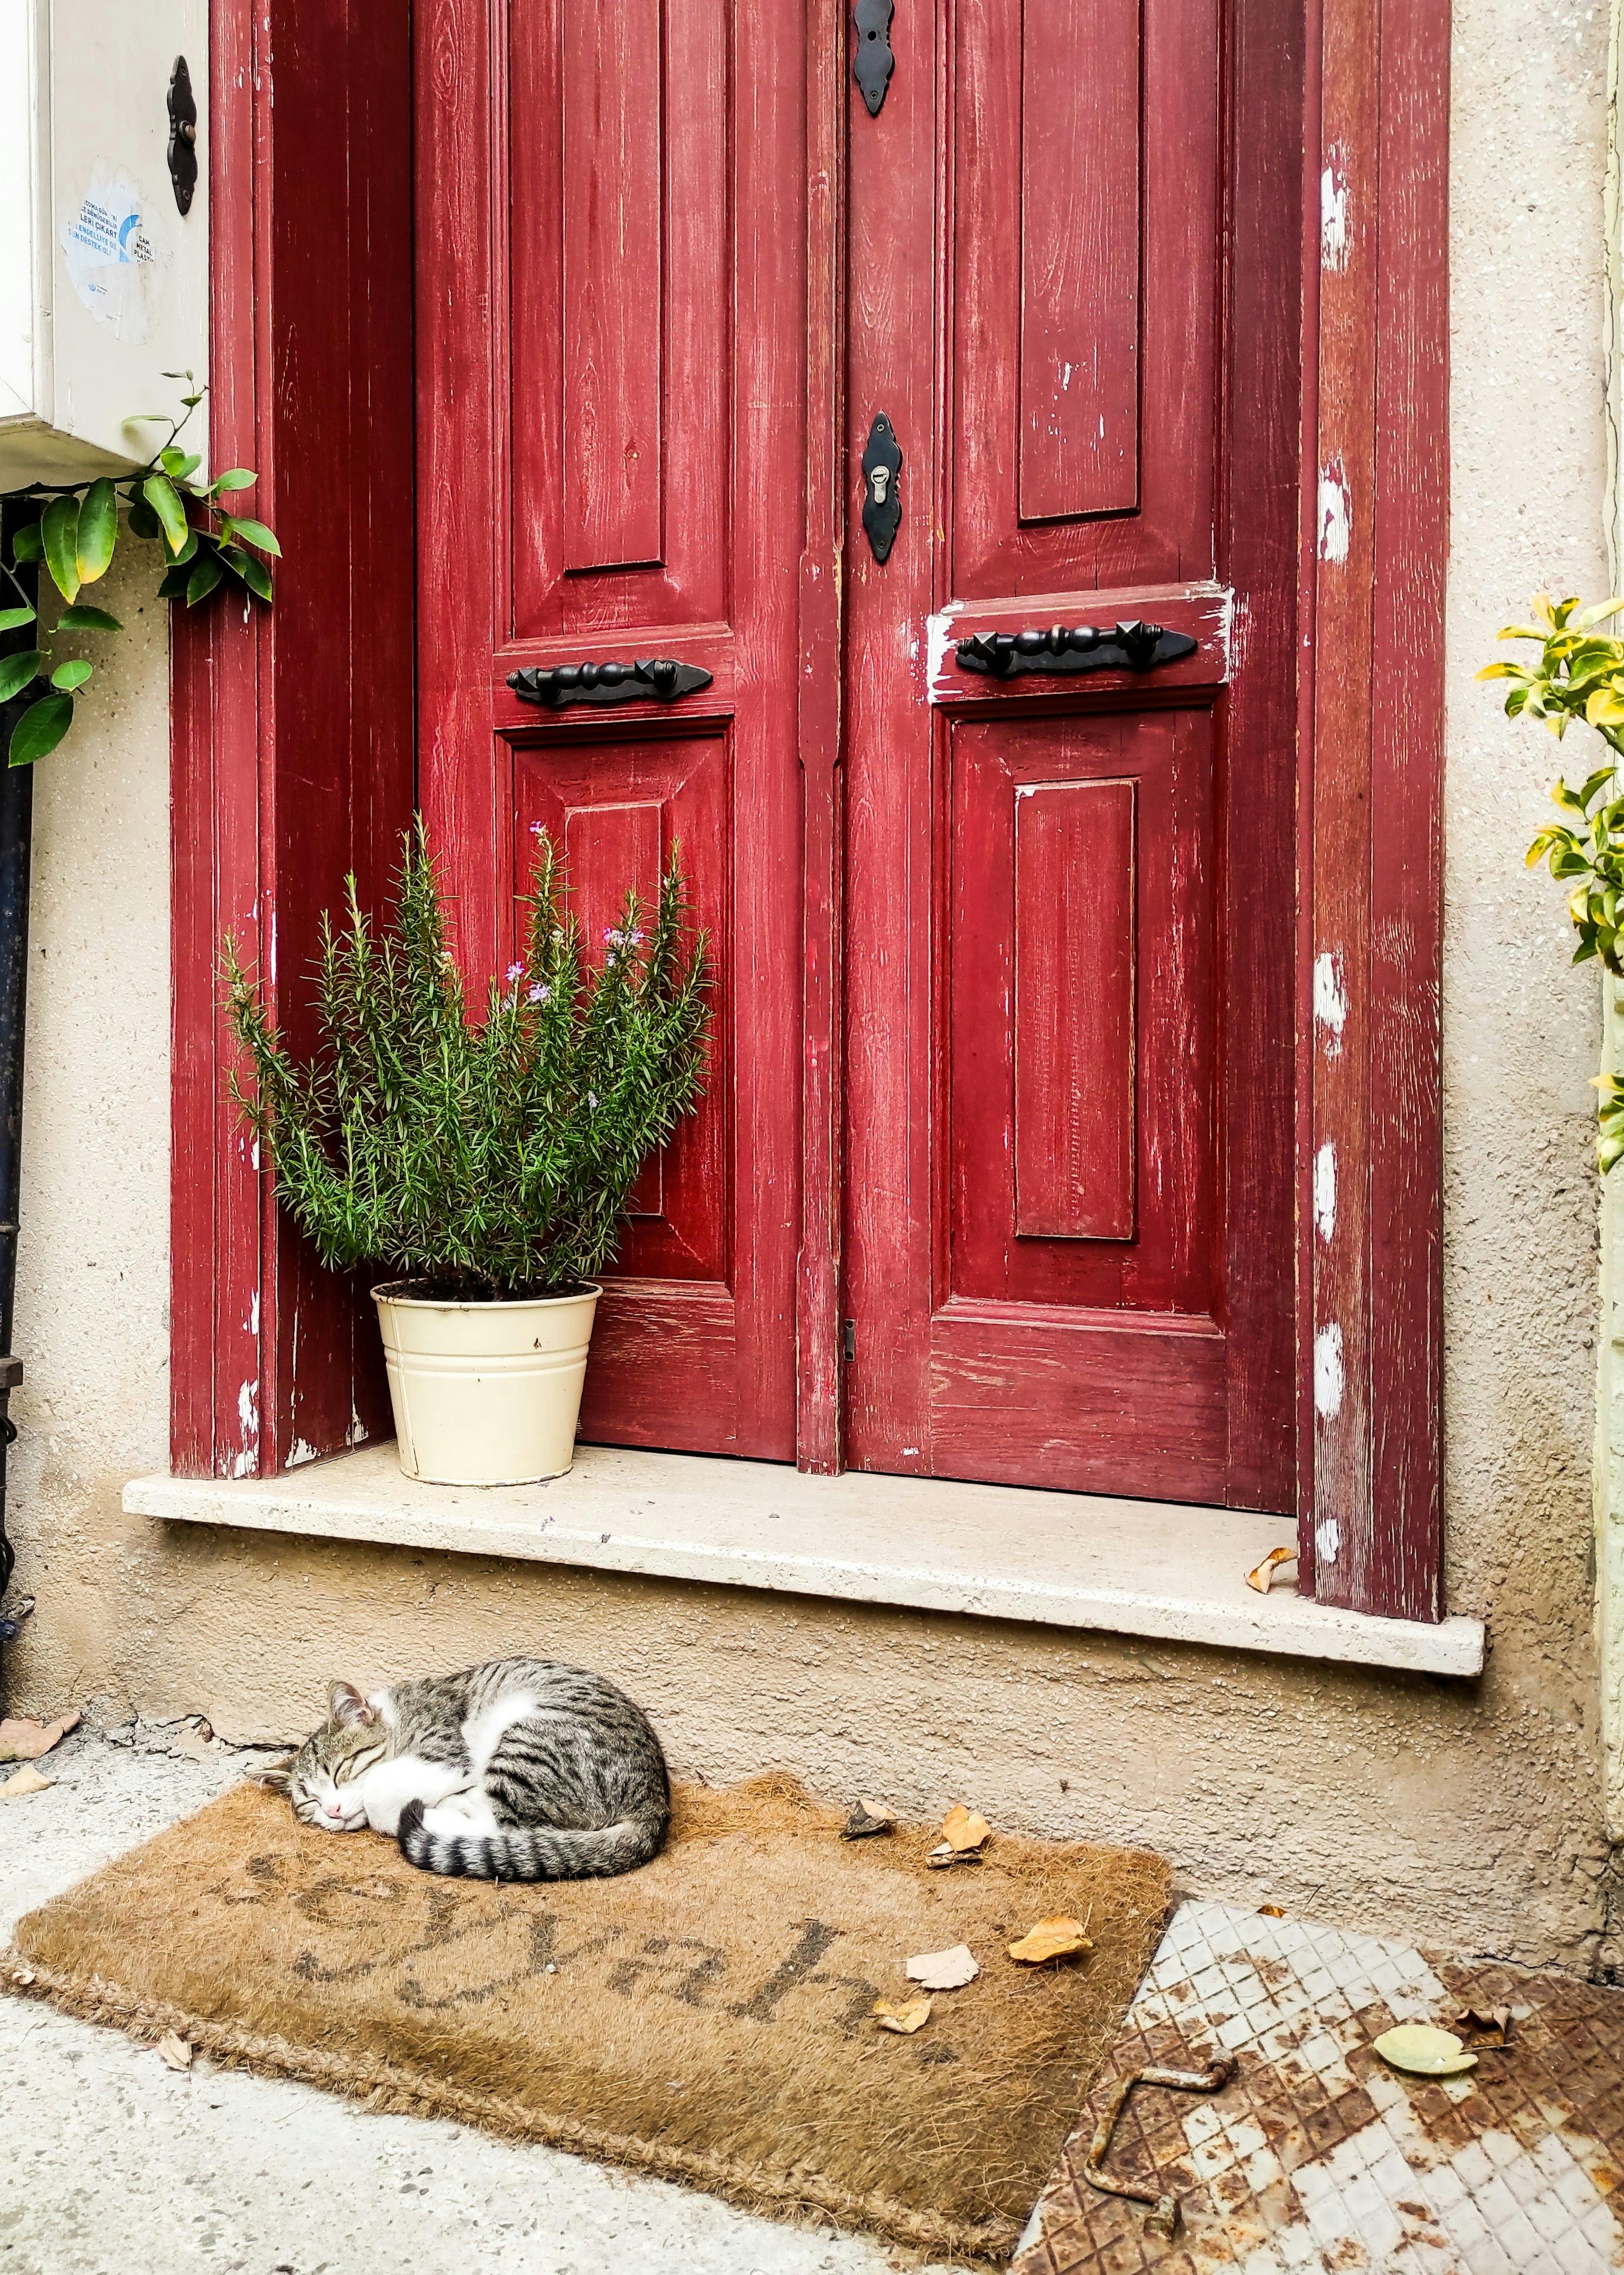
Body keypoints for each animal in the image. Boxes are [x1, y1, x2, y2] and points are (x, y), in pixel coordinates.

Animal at [262, 1665, 669, 1874]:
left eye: (340, 1770)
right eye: (309, 1803)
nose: (332, 1811)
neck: (399, 1719)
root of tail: (656, 1803)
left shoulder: (447, 1752)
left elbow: (379, 1790)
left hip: (528, 1739)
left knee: (506, 1825)